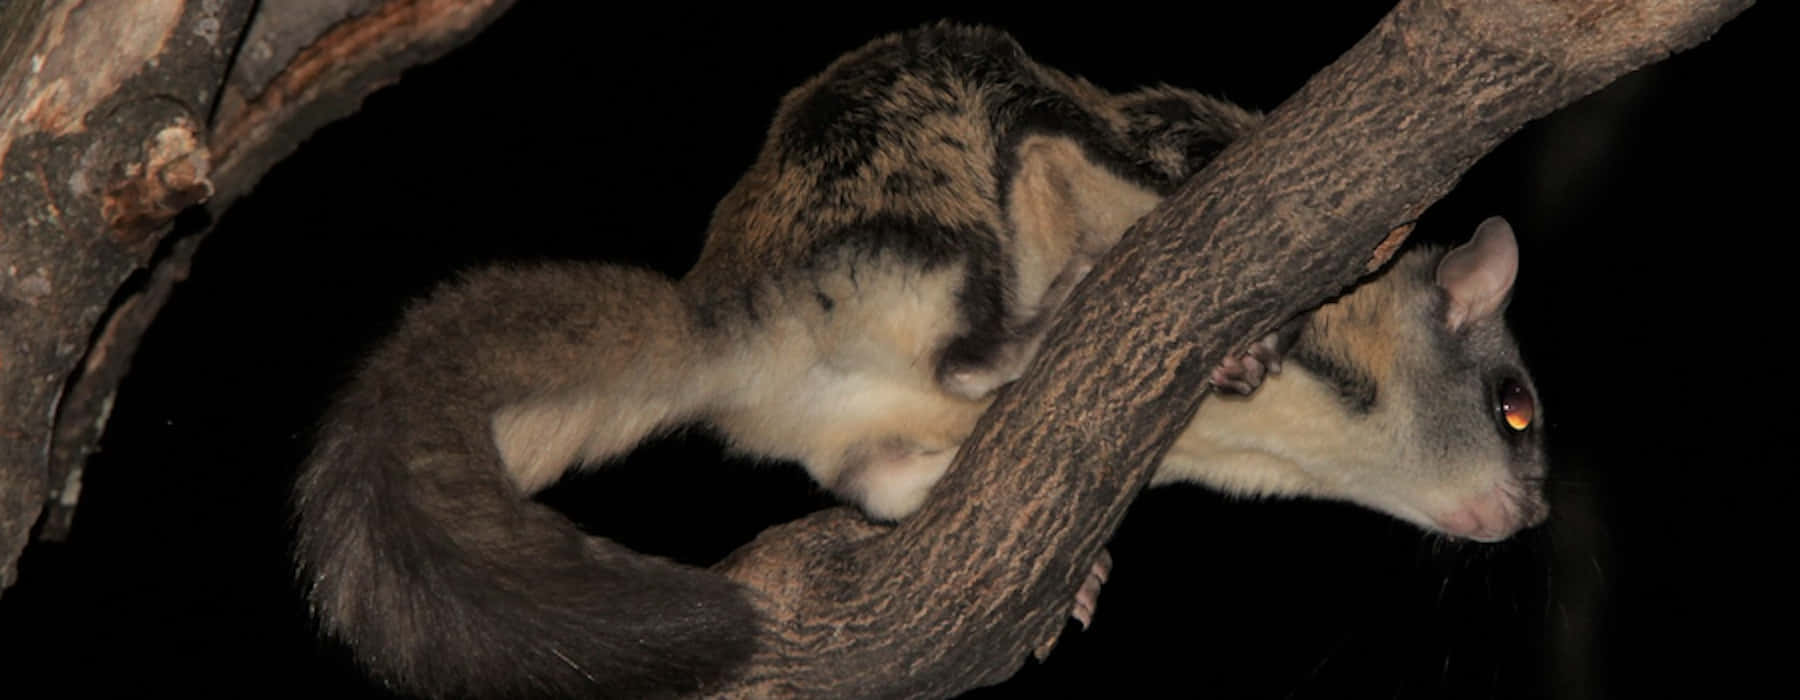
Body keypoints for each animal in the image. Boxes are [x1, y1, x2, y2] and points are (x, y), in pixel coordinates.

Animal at [293, 23, 1546, 698]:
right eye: (1516, 408)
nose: (1532, 519)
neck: (1305, 433)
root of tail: (726, 313)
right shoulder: (1146, 159)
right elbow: (1076, 159)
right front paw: (1246, 339)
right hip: (929, 214)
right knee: (968, 323)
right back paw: (1032, 335)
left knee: (872, 474)